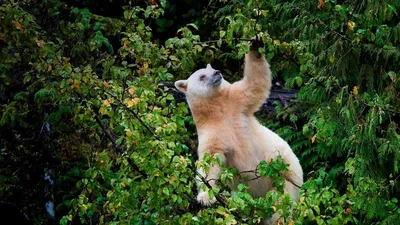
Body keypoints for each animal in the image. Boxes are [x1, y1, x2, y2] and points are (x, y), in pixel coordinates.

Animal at [175, 40, 304, 223]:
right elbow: (210, 160)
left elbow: (255, 85)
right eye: (202, 76)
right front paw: (205, 197)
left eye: (212, 68)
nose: (217, 72)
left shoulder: (237, 103)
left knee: (280, 205)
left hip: (286, 178)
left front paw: (255, 46)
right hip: (244, 196)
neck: (218, 108)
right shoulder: (211, 131)